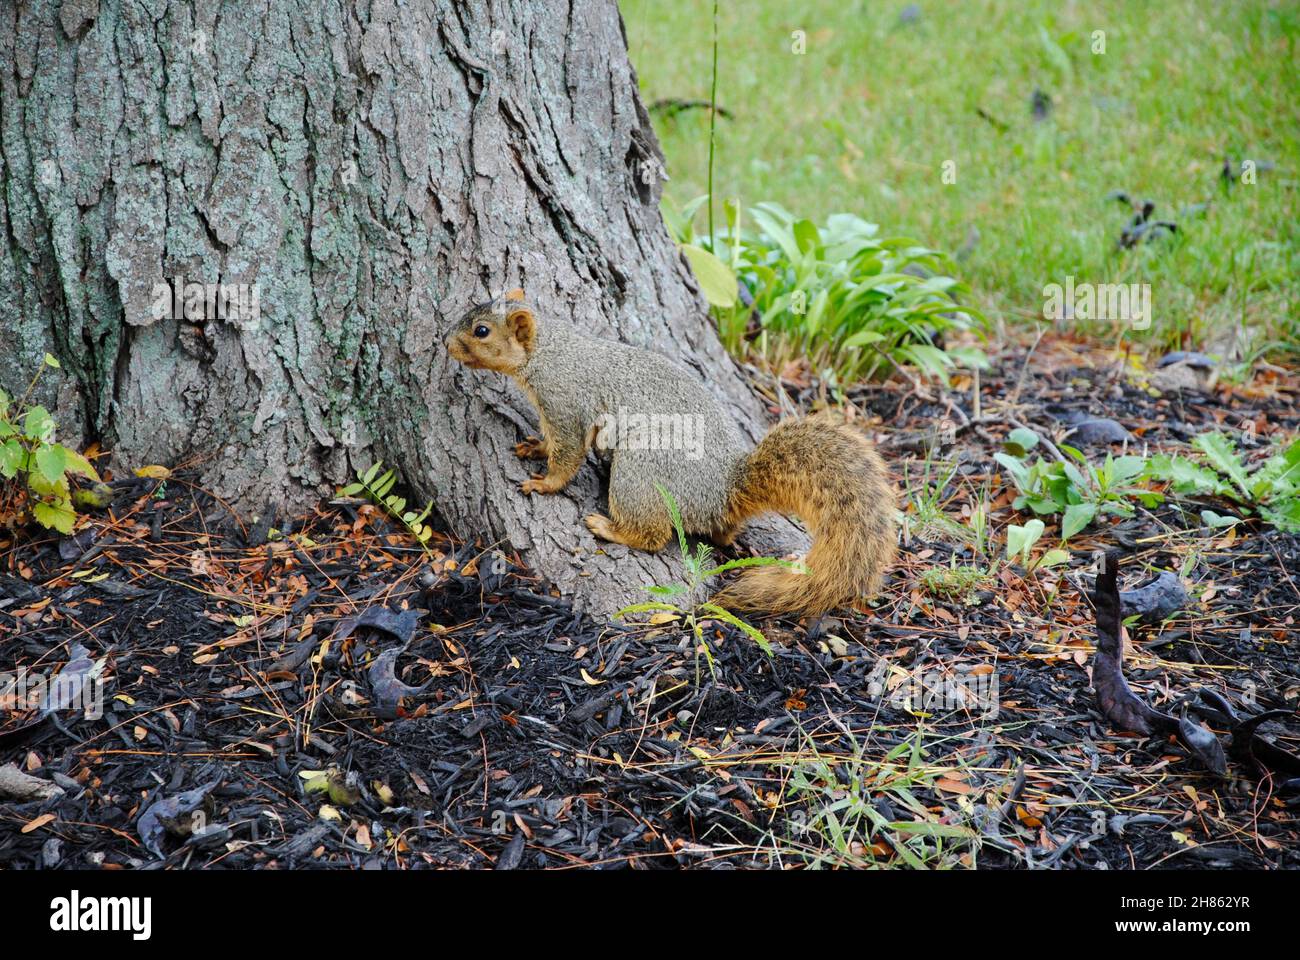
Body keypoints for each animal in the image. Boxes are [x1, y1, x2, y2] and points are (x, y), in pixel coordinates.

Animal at [445, 289, 896, 616]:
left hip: (640, 470)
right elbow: (551, 441)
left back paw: (608, 527)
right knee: (721, 531)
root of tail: (723, 492)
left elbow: (569, 453)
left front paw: (543, 484)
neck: (549, 352)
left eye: (482, 331)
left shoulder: (566, 403)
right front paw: (534, 445)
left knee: (652, 535)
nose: (446, 343)